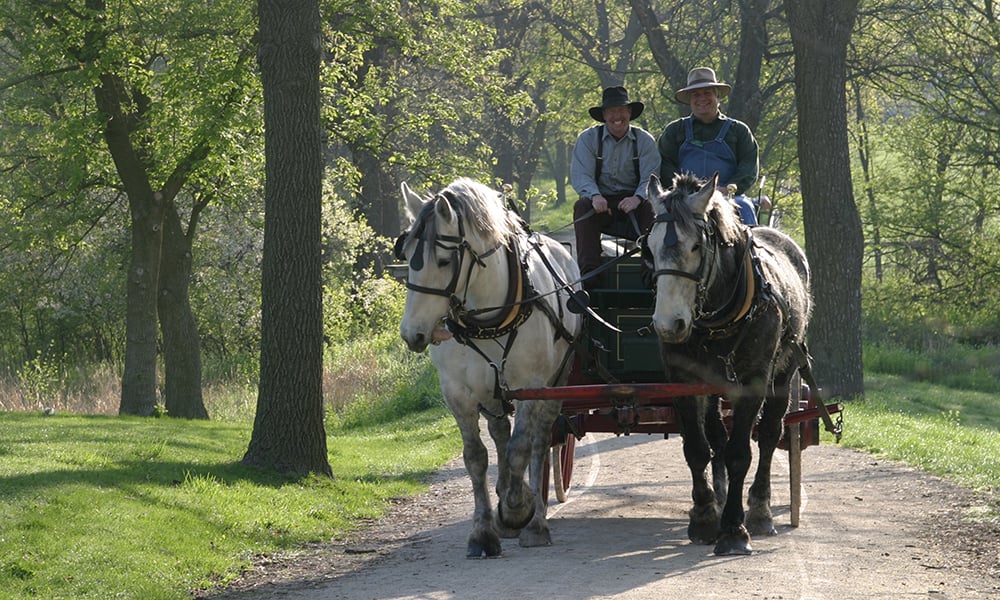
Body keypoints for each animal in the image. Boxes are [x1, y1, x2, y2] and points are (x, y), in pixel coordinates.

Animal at [640, 171, 812, 556]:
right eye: (649, 248)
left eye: (696, 247)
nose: (668, 325)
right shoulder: (683, 380)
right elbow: (697, 449)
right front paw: (705, 517)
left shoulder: (753, 381)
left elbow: (739, 453)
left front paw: (734, 529)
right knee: (717, 435)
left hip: (784, 371)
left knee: (769, 434)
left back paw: (760, 510)